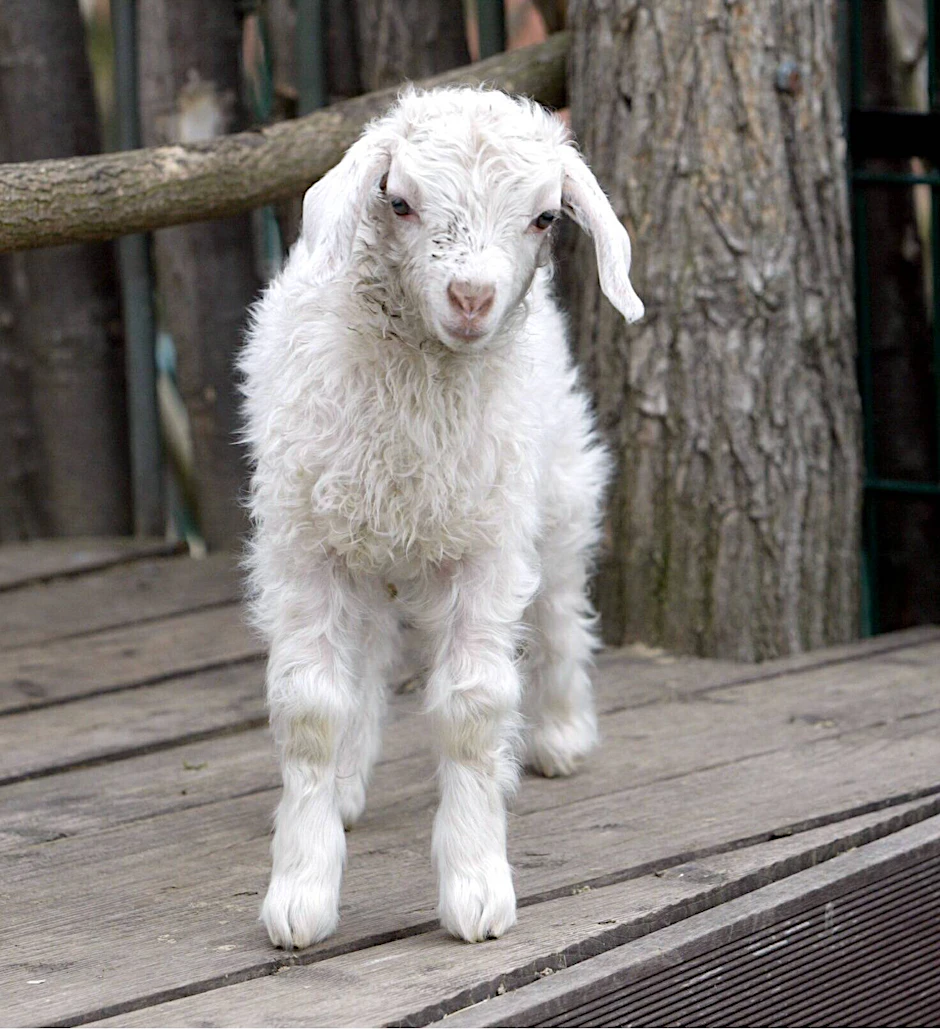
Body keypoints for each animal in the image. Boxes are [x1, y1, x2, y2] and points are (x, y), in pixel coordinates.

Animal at [239, 86, 643, 949]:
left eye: (545, 217)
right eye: (399, 201)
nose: (471, 299)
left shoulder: (485, 549)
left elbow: (472, 709)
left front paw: (475, 888)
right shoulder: (305, 545)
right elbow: (313, 709)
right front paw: (300, 891)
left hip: (557, 488)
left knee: (561, 605)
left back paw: (561, 731)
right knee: (365, 655)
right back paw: (350, 779)